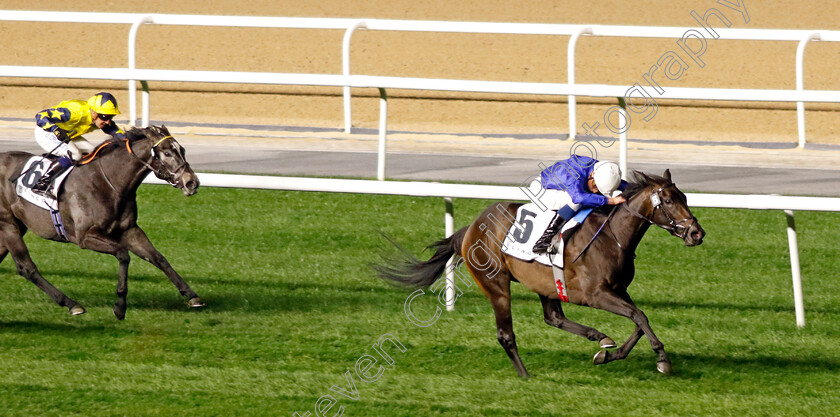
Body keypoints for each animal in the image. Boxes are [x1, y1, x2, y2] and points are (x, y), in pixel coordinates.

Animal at [0, 123, 203, 318]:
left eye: (182, 150)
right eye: (167, 153)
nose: (191, 182)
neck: (109, 184)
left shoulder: (130, 230)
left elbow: (158, 258)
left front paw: (192, 295)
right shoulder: (84, 237)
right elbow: (123, 254)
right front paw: (120, 306)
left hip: (15, 226)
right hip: (8, 225)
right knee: (27, 268)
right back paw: (72, 304)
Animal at [378, 171, 704, 376]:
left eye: (686, 197)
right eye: (670, 201)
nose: (697, 233)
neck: (612, 236)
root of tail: (470, 229)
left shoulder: (618, 290)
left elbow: (639, 320)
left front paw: (610, 354)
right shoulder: (595, 295)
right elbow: (639, 317)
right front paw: (662, 360)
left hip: (545, 283)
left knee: (553, 317)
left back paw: (598, 337)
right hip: (496, 284)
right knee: (506, 334)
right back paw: (525, 376)